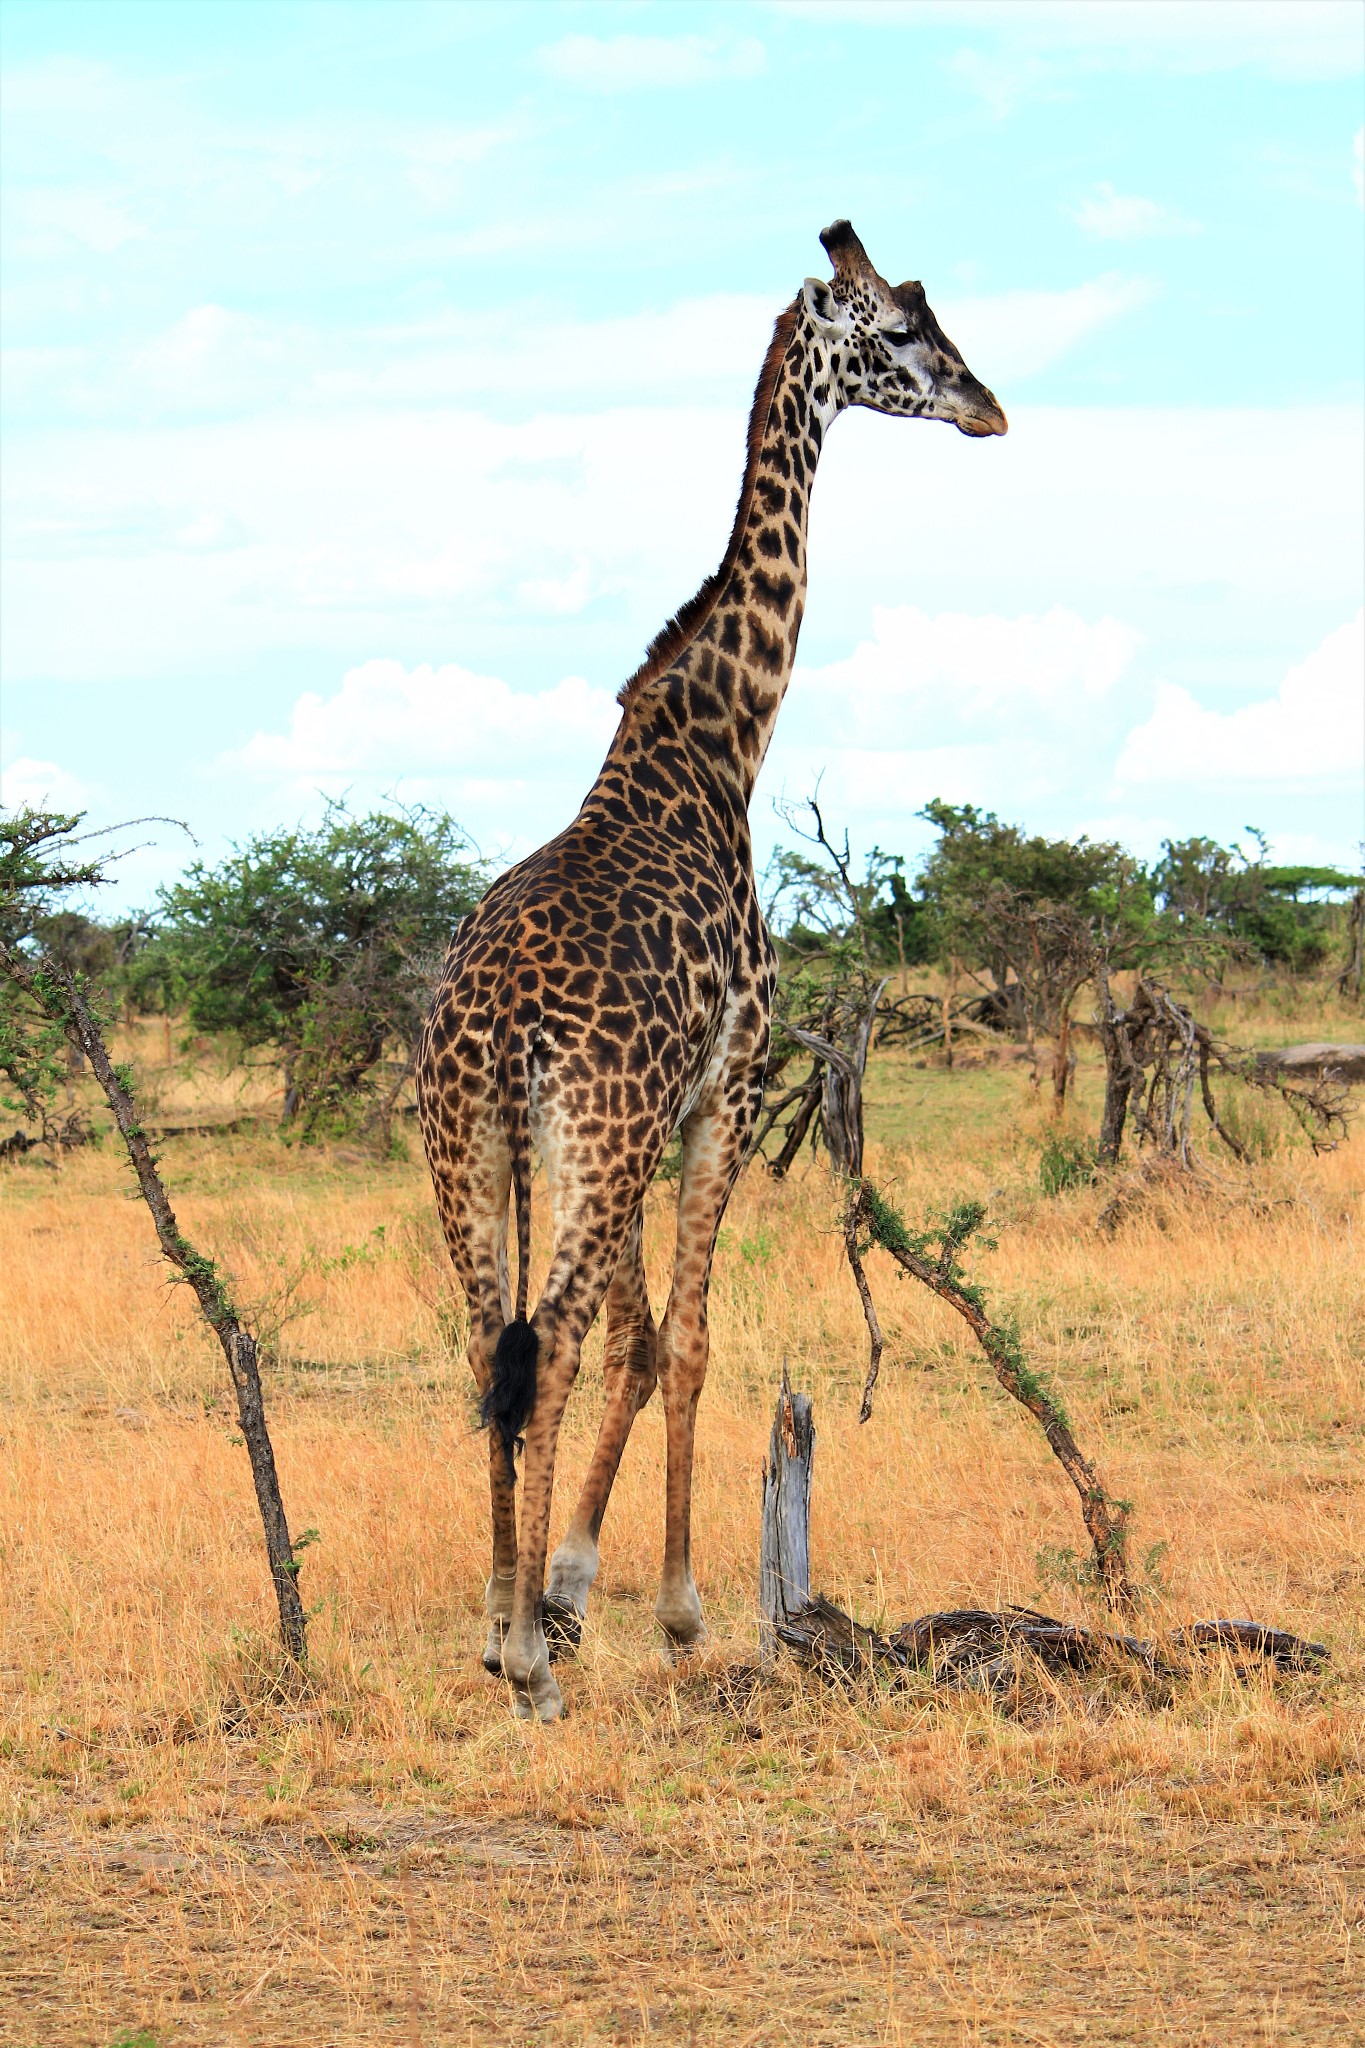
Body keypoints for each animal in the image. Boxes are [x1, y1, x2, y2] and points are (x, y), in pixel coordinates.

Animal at [417, 224, 1002, 1720]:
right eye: (901, 333)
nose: (987, 407)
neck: (714, 742)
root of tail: (494, 1025)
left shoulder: (644, 1125)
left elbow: (638, 1338)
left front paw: (564, 1585)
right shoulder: (726, 1088)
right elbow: (681, 1337)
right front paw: (677, 1611)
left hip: (473, 1147)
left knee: (493, 1343)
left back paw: (498, 1624)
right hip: (598, 1134)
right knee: (552, 1343)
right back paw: (526, 1663)